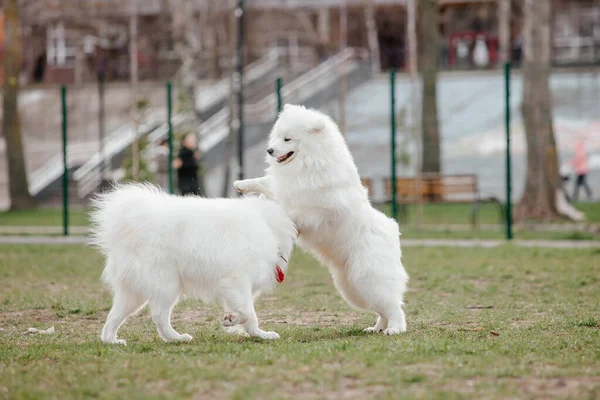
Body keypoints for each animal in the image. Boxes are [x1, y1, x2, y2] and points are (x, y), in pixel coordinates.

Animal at [89, 184, 296, 344]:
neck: (267, 221)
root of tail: (131, 224)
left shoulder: (238, 289)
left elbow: (248, 317)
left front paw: (258, 334)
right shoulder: (236, 281)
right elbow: (247, 313)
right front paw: (231, 320)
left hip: (134, 292)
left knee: (114, 316)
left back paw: (111, 341)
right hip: (167, 285)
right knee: (159, 315)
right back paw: (177, 338)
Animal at [234, 104, 408, 334]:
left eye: (287, 139)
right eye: (277, 136)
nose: (269, 150)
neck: (310, 162)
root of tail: (391, 229)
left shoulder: (315, 210)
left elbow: (288, 209)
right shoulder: (285, 186)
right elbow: (266, 182)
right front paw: (242, 185)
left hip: (370, 279)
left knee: (394, 308)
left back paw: (394, 329)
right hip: (353, 287)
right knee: (382, 310)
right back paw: (377, 328)